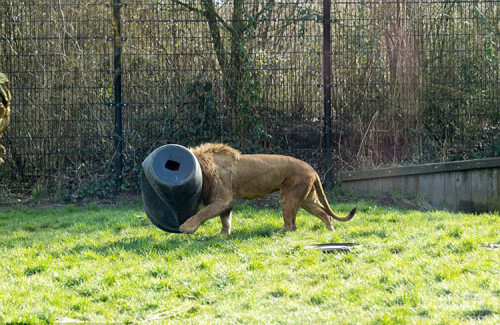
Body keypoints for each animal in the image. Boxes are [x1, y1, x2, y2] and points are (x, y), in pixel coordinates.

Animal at [179, 143, 356, 234]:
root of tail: (312, 169)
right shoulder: (225, 202)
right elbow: (225, 219)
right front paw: (224, 235)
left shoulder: (223, 199)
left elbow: (204, 212)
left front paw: (186, 227)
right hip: (308, 199)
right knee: (323, 214)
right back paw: (330, 229)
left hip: (289, 196)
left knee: (290, 224)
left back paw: (278, 233)